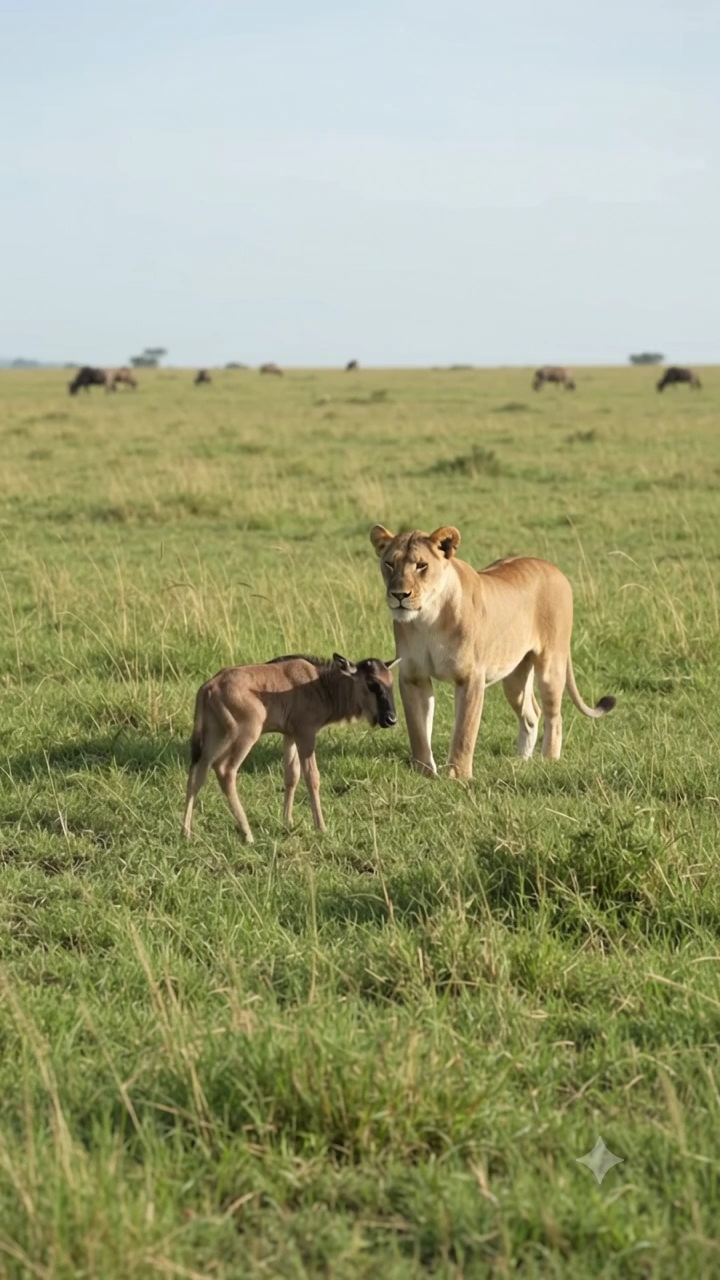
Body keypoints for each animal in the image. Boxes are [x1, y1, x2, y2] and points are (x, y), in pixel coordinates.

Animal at [182, 653, 399, 842]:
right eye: (372, 683)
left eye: (391, 682)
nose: (391, 719)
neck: (320, 683)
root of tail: (209, 687)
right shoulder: (306, 734)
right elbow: (312, 777)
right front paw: (321, 827)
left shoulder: (289, 736)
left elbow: (291, 775)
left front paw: (287, 821)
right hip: (245, 735)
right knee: (224, 770)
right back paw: (247, 834)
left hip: (214, 736)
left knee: (197, 772)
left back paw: (186, 832)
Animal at [370, 524, 615, 778]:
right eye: (389, 563)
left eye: (421, 565)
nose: (399, 595)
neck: (428, 618)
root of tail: (555, 569)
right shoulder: (413, 677)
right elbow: (418, 731)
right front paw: (424, 773)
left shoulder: (470, 678)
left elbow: (464, 732)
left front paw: (458, 776)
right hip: (515, 678)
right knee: (531, 713)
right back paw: (521, 763)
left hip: (551, 665)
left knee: (554, 717)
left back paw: (548, 761)